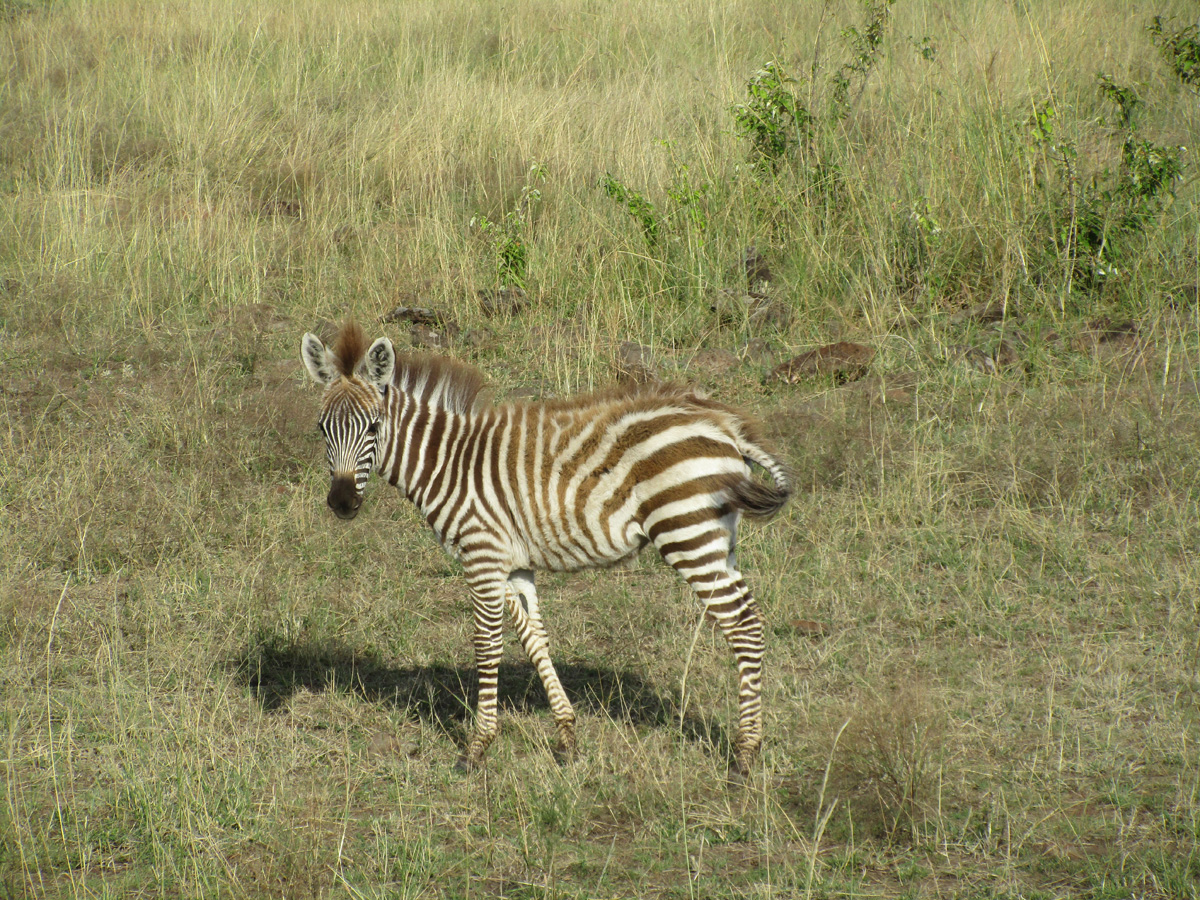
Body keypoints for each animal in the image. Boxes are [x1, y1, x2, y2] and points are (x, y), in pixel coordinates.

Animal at [300, 322, 792, 779]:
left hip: (688, 532)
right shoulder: (510, 565)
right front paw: (567, 737)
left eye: (373, 427)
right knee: (749, 619)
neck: (449, 463)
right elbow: (534, 639)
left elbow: (487, 645)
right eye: (322, 428)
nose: (341, 503)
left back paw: (745, 756)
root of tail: (725, 424)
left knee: (744, 626)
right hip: (719, 538)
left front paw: (477, 748)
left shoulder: (482, 556)